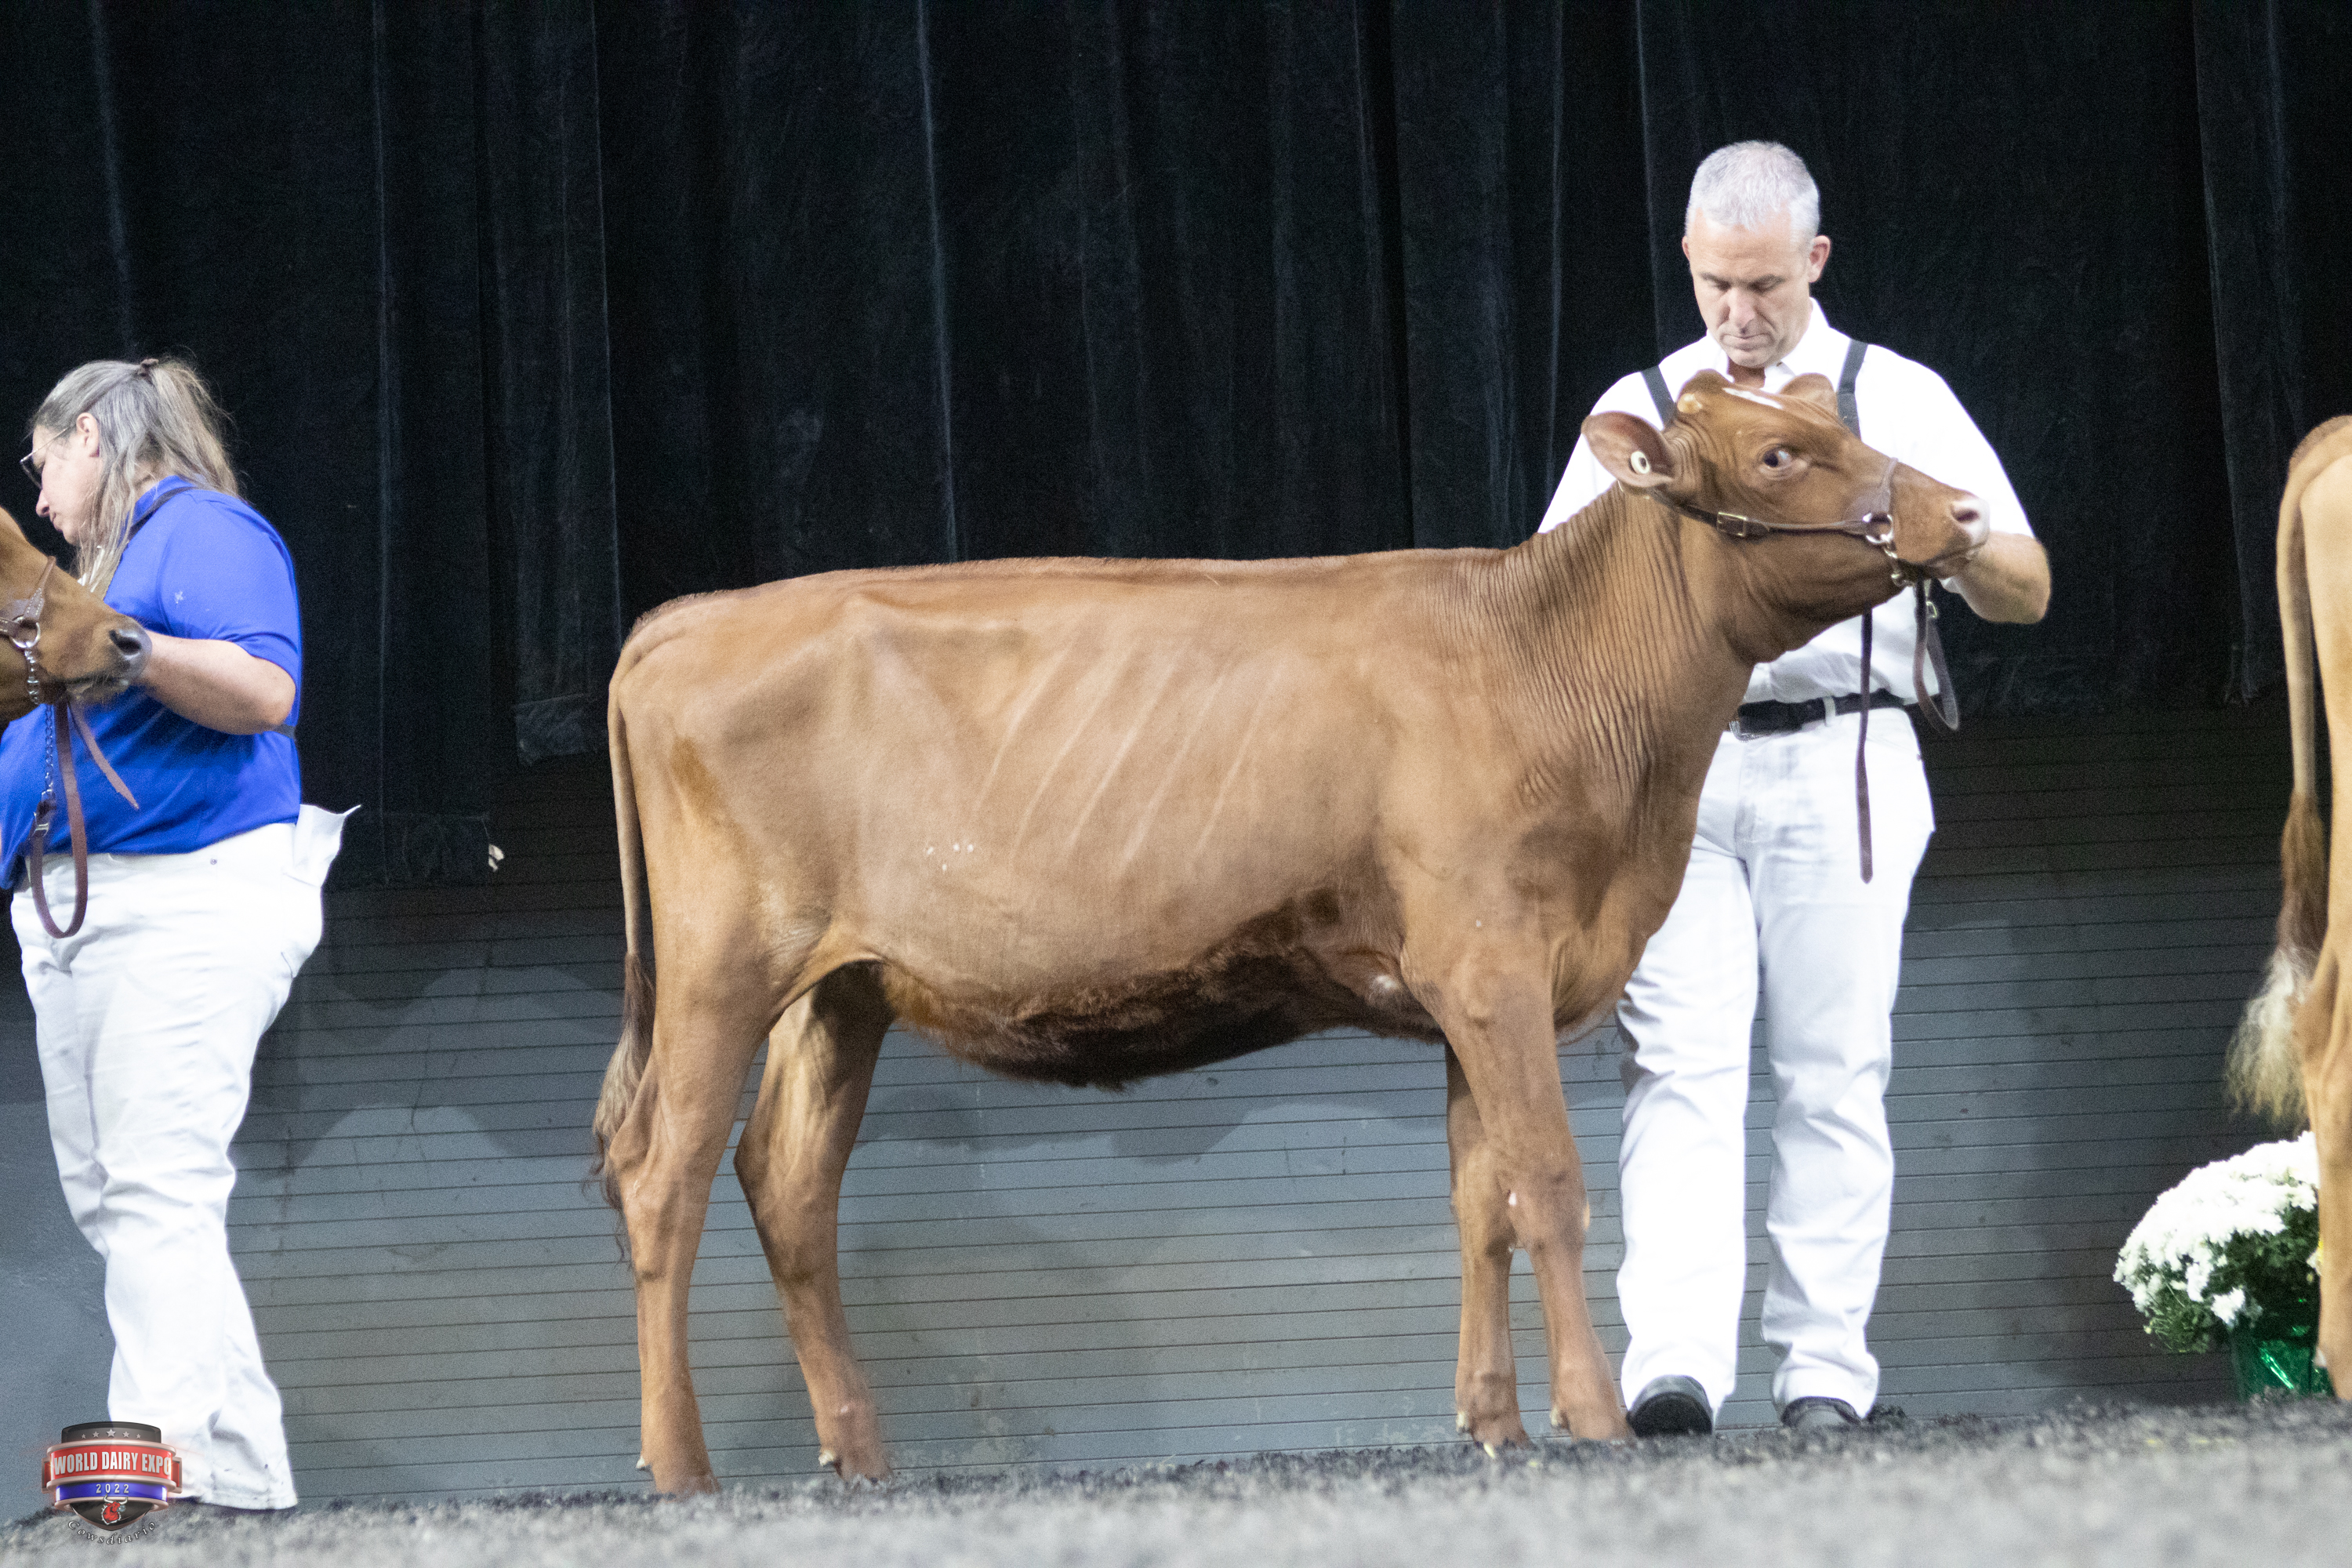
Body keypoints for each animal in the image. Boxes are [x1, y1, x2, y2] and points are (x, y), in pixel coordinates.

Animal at [593, 368, 1991, 1490]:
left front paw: (1493, 1426)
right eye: (1781, 455)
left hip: (841, 988)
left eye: (1836, 421)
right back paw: (679, 1468)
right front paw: (1591, 1419)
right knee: (662, 1177)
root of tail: (686, 617)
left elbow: (1479, 1199)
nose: (1966, 512)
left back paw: (863, 1456)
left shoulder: (1462, 986)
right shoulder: (1493, 961)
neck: (1556, 670)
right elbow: (1550, 1182)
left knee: (788, 1184)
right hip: (722, 966)